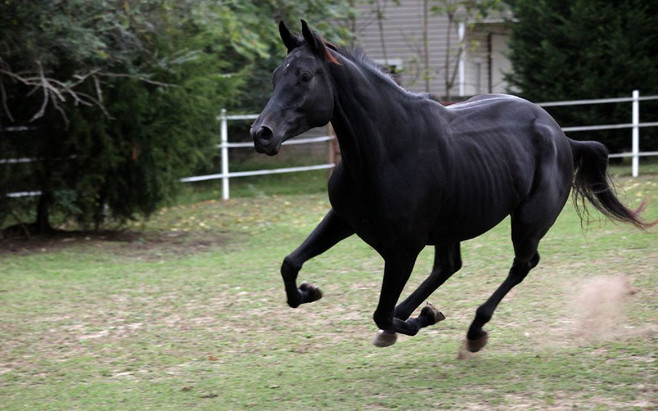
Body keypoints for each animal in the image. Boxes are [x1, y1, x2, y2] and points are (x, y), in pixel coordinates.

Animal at [250, 20, 653, 352]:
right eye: (275, 75)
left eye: (304, 76)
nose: (261, 134)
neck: (387, 149)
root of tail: (560, 136)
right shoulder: (343, 219)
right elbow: (290, 264)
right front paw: (309, 292)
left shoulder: (403, 250)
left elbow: (380, 311)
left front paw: (421, 319)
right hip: (453, 222)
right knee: (449, 266)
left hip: (527, 222)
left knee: (521, 264)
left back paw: (474, 330)